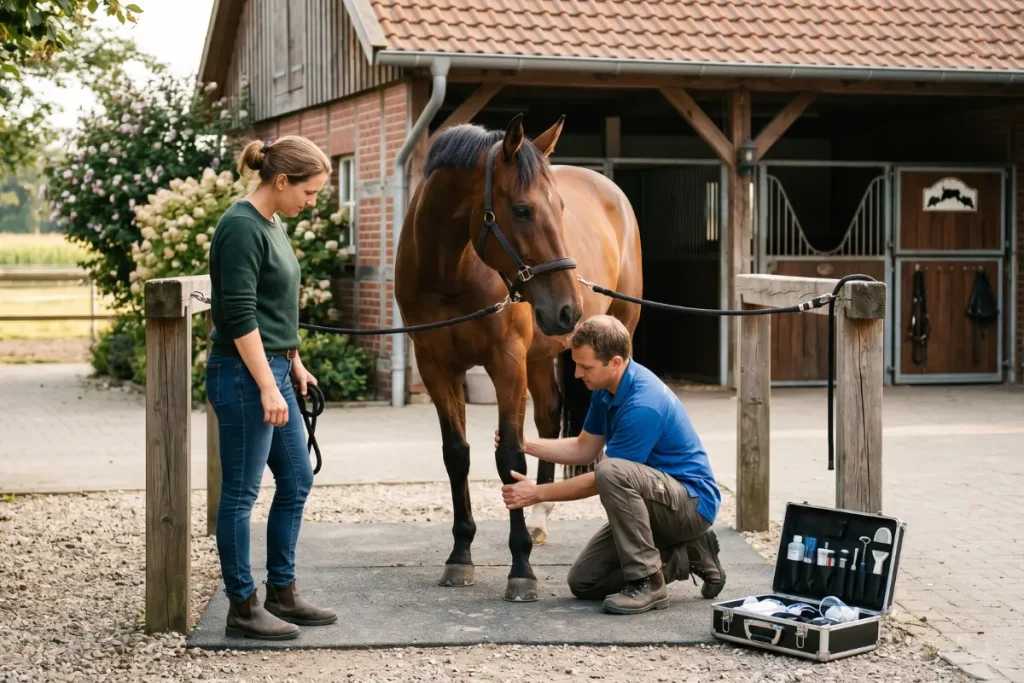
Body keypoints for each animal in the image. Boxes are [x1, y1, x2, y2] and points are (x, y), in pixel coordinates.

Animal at [394, 114, 643, 602]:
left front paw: (521, 567)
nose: (568, 309)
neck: (450, 271)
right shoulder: (436, 366)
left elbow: (509, 455)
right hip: (540, 356)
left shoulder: (506, 363)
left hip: (618, 330)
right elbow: (457, 454)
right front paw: (460, 556)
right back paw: (539, 518)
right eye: (523, 210)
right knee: (549, 418)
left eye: (561, 208)